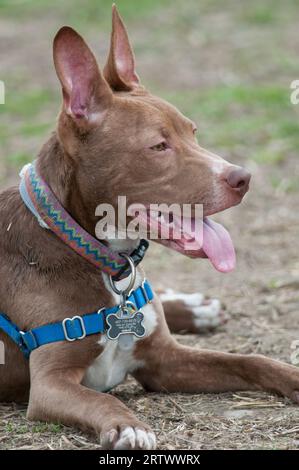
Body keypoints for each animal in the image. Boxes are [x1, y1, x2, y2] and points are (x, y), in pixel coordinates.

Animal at [0, 5, 299, 450]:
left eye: (193, 131)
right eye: (158, 146)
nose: (243, 177)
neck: (99, 258)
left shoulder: (165, 361)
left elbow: (249, 360)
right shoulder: (51, 384)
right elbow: (100, 399)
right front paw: (128, 426)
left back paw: (193, 306)